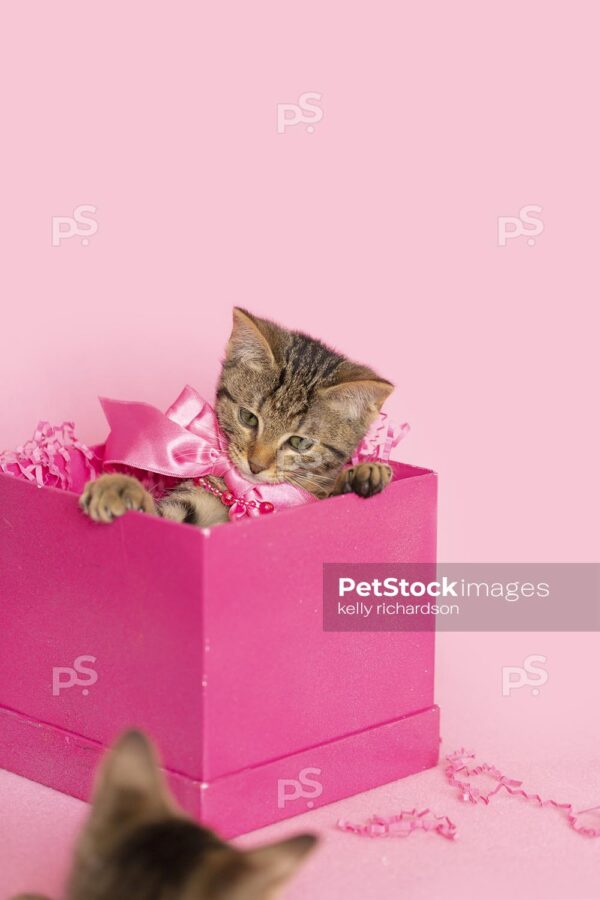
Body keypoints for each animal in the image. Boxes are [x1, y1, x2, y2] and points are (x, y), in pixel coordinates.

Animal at [79, 310, 394, 528]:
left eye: (300, 442)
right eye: (248, 418)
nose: (255, 465)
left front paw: (363, 473)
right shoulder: (191, 505)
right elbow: (159, 515)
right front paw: (119, 487)